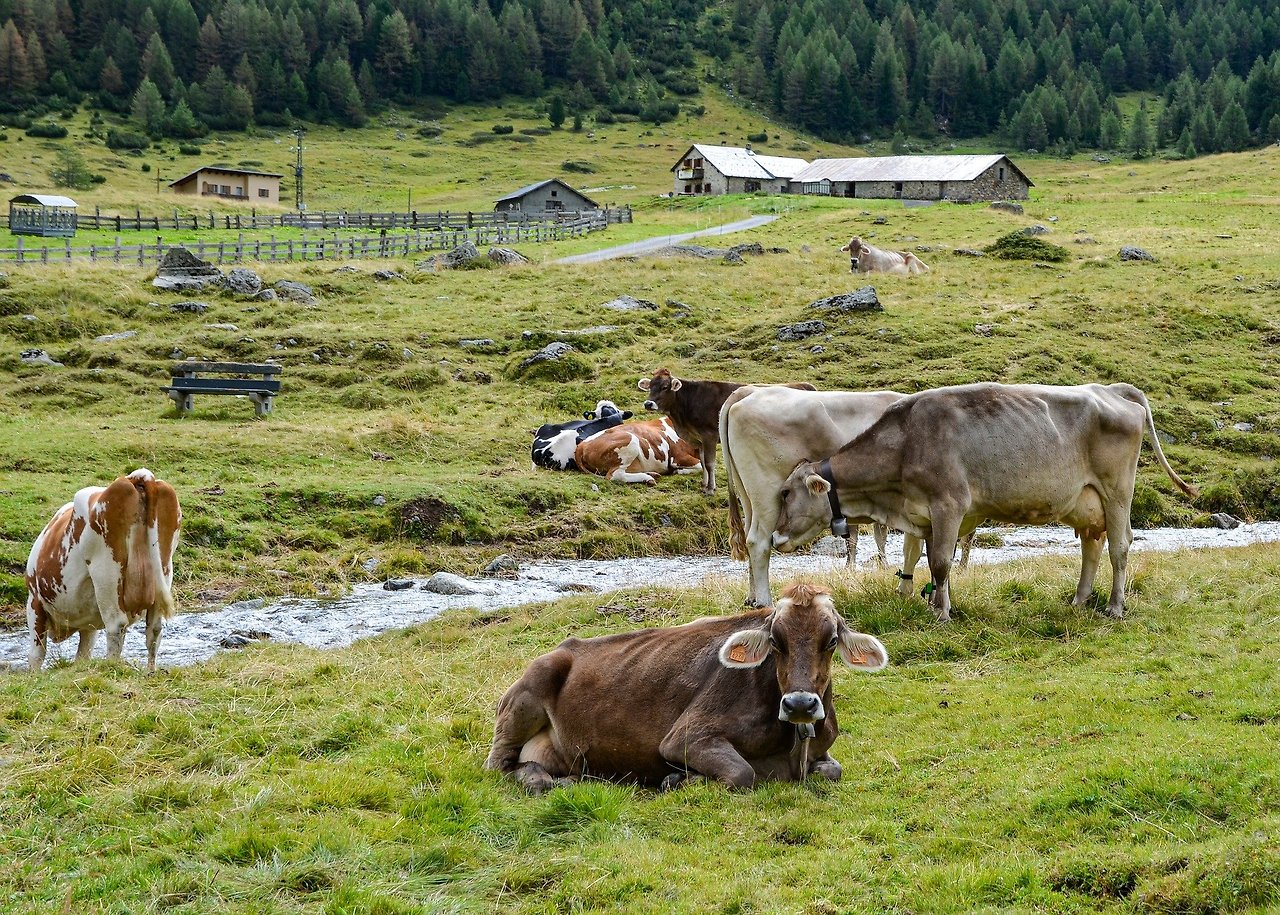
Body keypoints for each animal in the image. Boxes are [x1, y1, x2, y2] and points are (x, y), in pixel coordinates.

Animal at [26, 469, 182, 673]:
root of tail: (137, 476)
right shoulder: (89, 625)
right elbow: (83, 654)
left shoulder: (34, 602)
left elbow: (36, 654)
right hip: (164, 569)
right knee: (154, 630)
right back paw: (150, 671)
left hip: (106, 573)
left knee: (117, 624)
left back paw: (112, 665)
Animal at [485, 582, 888, 792]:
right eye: (775, 641)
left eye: (831, 640)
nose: (801, 705)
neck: (791, 746)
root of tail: (563, 647)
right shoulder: (686, 737)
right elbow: (743, 774)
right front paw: (677, 778)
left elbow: (833, 770)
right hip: (528, 692)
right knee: (500, 764)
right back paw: (542, 781)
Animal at [573, 416, 703, 485]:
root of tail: (582, 445)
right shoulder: (678, 457)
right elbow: (700, 466)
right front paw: (680, 471)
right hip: (631, 441)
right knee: (615, 475)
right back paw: (648, 478)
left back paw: (652, 475)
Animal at [637, 369, 816, 494]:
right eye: (650, 386)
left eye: (664, 387)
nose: (648, 404)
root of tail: (805, 385)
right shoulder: (698, 439)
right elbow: (703, 462)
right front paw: (704, 485)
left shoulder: (709, 435)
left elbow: (709, 463)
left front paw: (710, 489)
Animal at [771, 383, 1197, 621]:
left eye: (786, 493)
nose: (775, 538)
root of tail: (1111, 389)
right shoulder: (927, 515)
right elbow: (931, 561)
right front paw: (934, 603)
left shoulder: (949, 505)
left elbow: (942, 563)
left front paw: (942, 613)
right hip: (1085, 500)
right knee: (1092, 547)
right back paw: (1078, 601)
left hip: (1116, 491)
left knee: (1119, 547)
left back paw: (1114, 607)